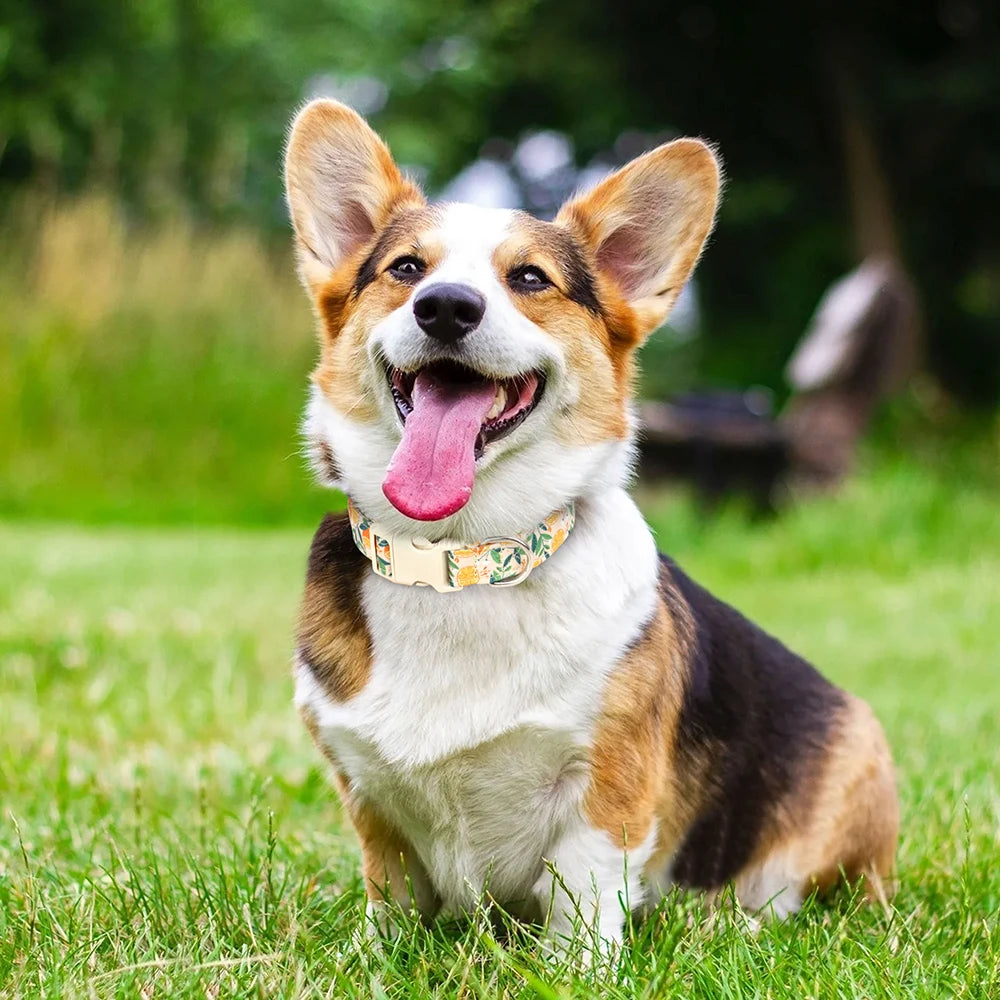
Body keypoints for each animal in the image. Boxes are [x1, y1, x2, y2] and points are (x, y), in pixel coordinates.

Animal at [282, 99, 900, 952]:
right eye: (406, 269)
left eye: (529, 279)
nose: (446, 306)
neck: (464, 559)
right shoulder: (369, 798)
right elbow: (391, 896)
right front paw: (373, 956)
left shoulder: (604, 789)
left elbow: (582, 899)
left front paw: (574, 966)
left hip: (851, 783)